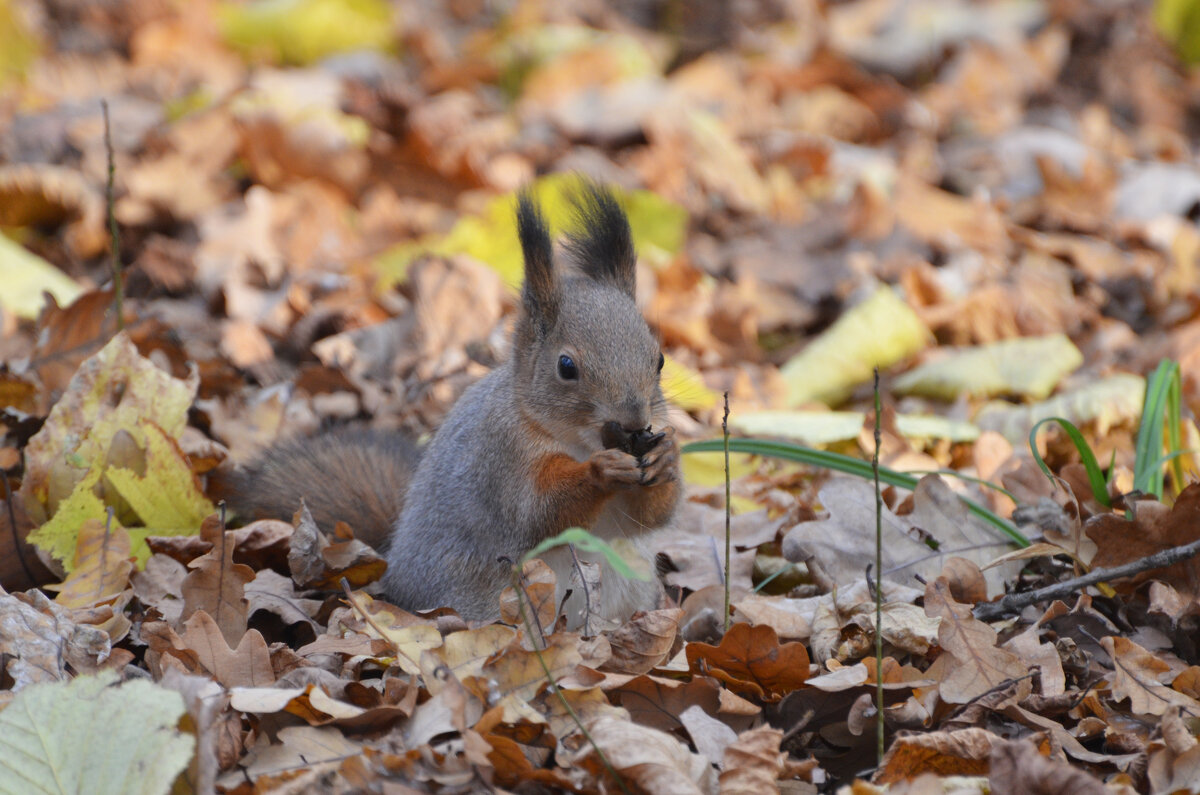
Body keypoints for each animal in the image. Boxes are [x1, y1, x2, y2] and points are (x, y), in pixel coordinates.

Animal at [220, 184, 681, 629]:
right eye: (566, 367)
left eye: (659, 359)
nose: (636, 421)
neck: (578, 440)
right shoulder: (500, 458)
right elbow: (539, 514)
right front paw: (601, 470)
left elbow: (649, 517)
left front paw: (667, 458)